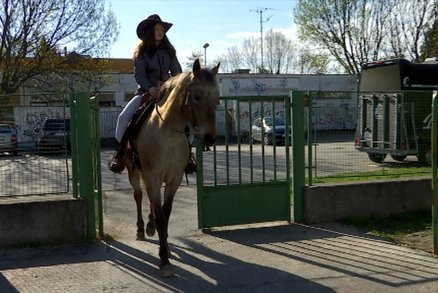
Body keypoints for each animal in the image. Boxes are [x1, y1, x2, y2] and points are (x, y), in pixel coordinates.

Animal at [123, 58, 219, 276]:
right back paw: (141, 229)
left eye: (217, 99)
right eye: (197, 97)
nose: (210, 138)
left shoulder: (174, 178)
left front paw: (164, 248)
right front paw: (164, 261)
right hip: (134, 171)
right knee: (138, 196)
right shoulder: (152, 176)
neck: (168, 133)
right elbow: (160, 216)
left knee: (150, 201)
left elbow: (165, 215)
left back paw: (149, 227)